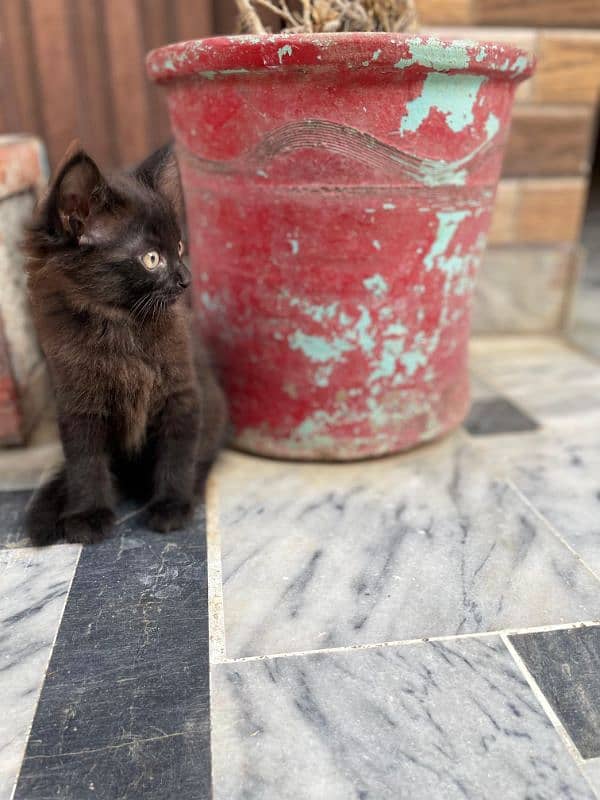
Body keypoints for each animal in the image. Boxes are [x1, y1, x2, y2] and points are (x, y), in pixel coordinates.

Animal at [23, 144, 227, 544]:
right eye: (152, 259)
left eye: (179, 246)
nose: (186, 278)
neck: (118, 325)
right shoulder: (77, 402)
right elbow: (85, 462)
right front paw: (86, 515)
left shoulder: (181, 393)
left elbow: (177, 453)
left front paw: (171, 506)